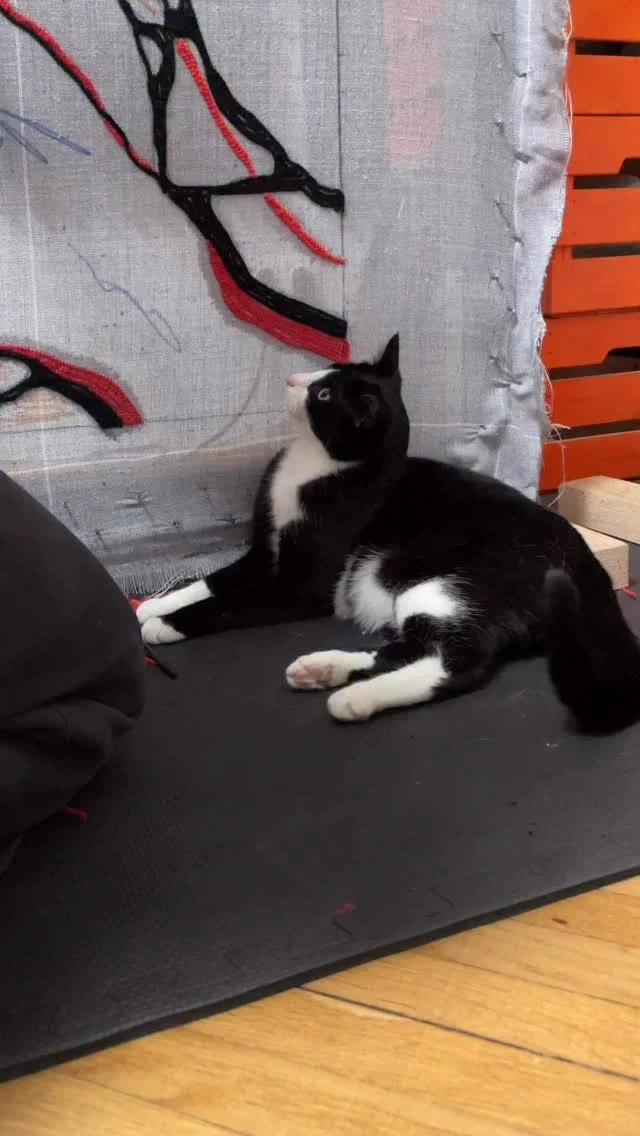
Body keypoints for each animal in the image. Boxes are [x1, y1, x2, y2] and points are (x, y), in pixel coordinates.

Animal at [136, 335, 640, 731]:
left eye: (323, 395)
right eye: (328, 371)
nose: (293, 379)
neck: (315, 465)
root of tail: (583, 558)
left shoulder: (299, 588)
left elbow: (232, 601)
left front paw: (166, 624)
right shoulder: (263, 552)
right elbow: (215, 580)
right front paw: (158, 604)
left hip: (444, 584)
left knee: (461, 660)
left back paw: (356, 698)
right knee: (412, 649)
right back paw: (325, 669)